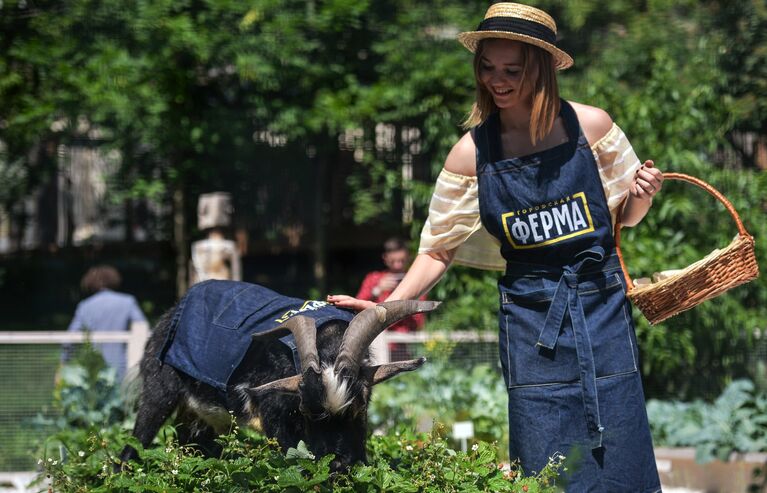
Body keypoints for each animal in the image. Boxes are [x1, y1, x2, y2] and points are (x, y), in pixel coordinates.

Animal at [119, 280, 438, 468]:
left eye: (359, 407)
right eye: (306, 413)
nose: (336, 464)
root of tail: (167, 316)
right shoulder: (274, 416)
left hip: (202, 414)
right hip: (160, 387)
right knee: (137, 439)